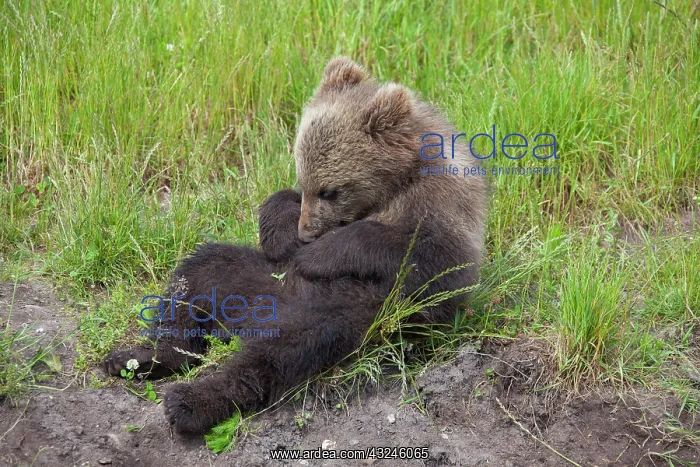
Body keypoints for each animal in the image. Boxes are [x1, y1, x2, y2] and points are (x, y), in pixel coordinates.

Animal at [102, 57, 486, 435]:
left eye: (331, 190)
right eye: (306, 182)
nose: (306, 235)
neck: (400, 179)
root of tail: (252, 316)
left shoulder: (441, 208)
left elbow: (427, 258)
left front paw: (317, 255)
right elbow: (277, 207)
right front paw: (287, 236)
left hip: (340, 314)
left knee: (276, 355)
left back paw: (189, 402)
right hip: (251, 279)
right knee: (198, 276)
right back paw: (138, 358)